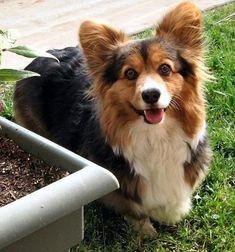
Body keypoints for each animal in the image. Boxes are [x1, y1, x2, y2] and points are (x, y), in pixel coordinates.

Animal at [13, 0, 212, 235]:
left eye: (165, 69)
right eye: (130, 73)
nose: (151, 95)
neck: (155, 135)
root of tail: (37, 57)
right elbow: (134, 210)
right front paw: (147, 231)